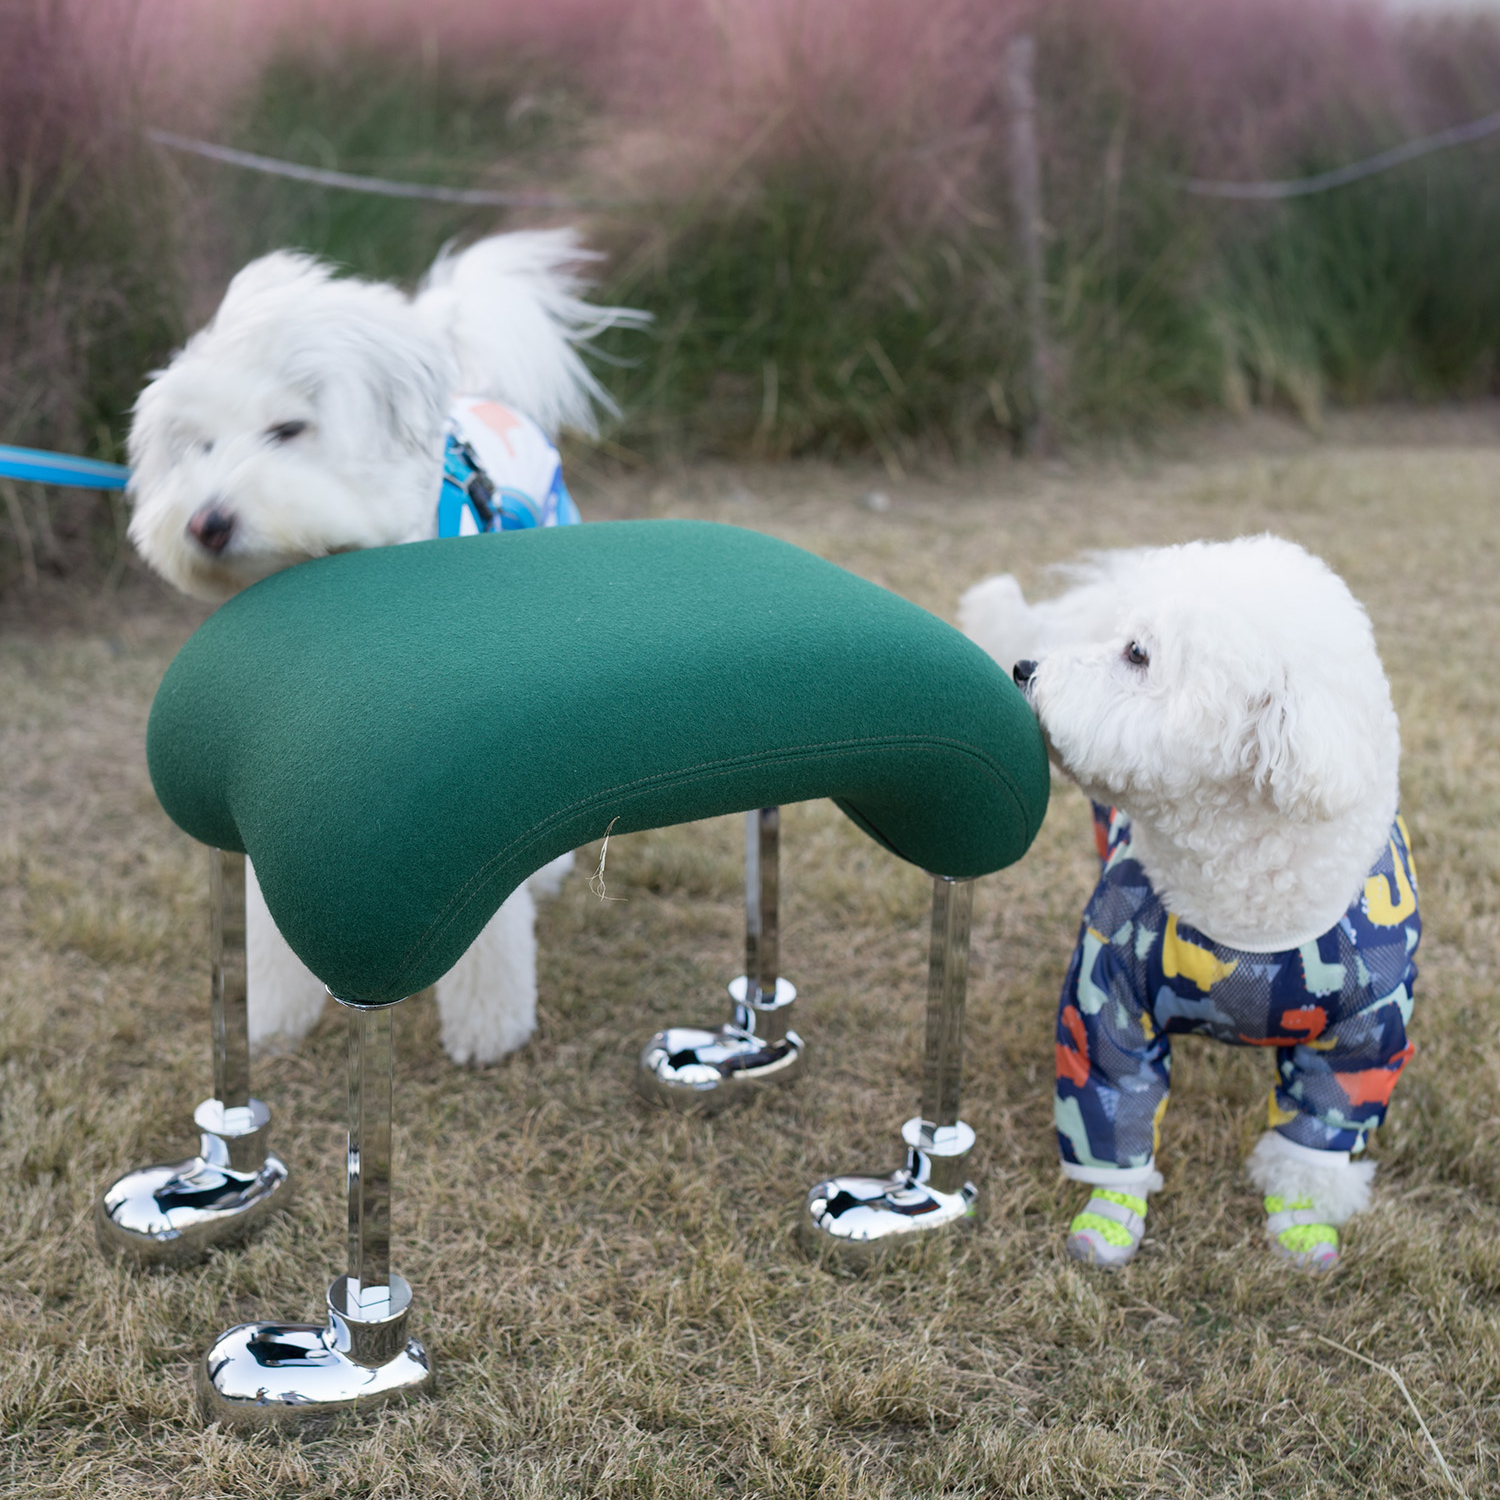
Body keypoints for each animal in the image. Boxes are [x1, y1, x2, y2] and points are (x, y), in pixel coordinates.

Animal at [960, 537, 1416, 1266]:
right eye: (1124, 640)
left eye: (1137, 654)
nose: (1024, 668)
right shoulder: (1107, 996)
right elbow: (1115, 1106)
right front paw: (1111, 1216)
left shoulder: (1369, 1030)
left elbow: (1316, 1134)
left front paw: (1303, 1221)